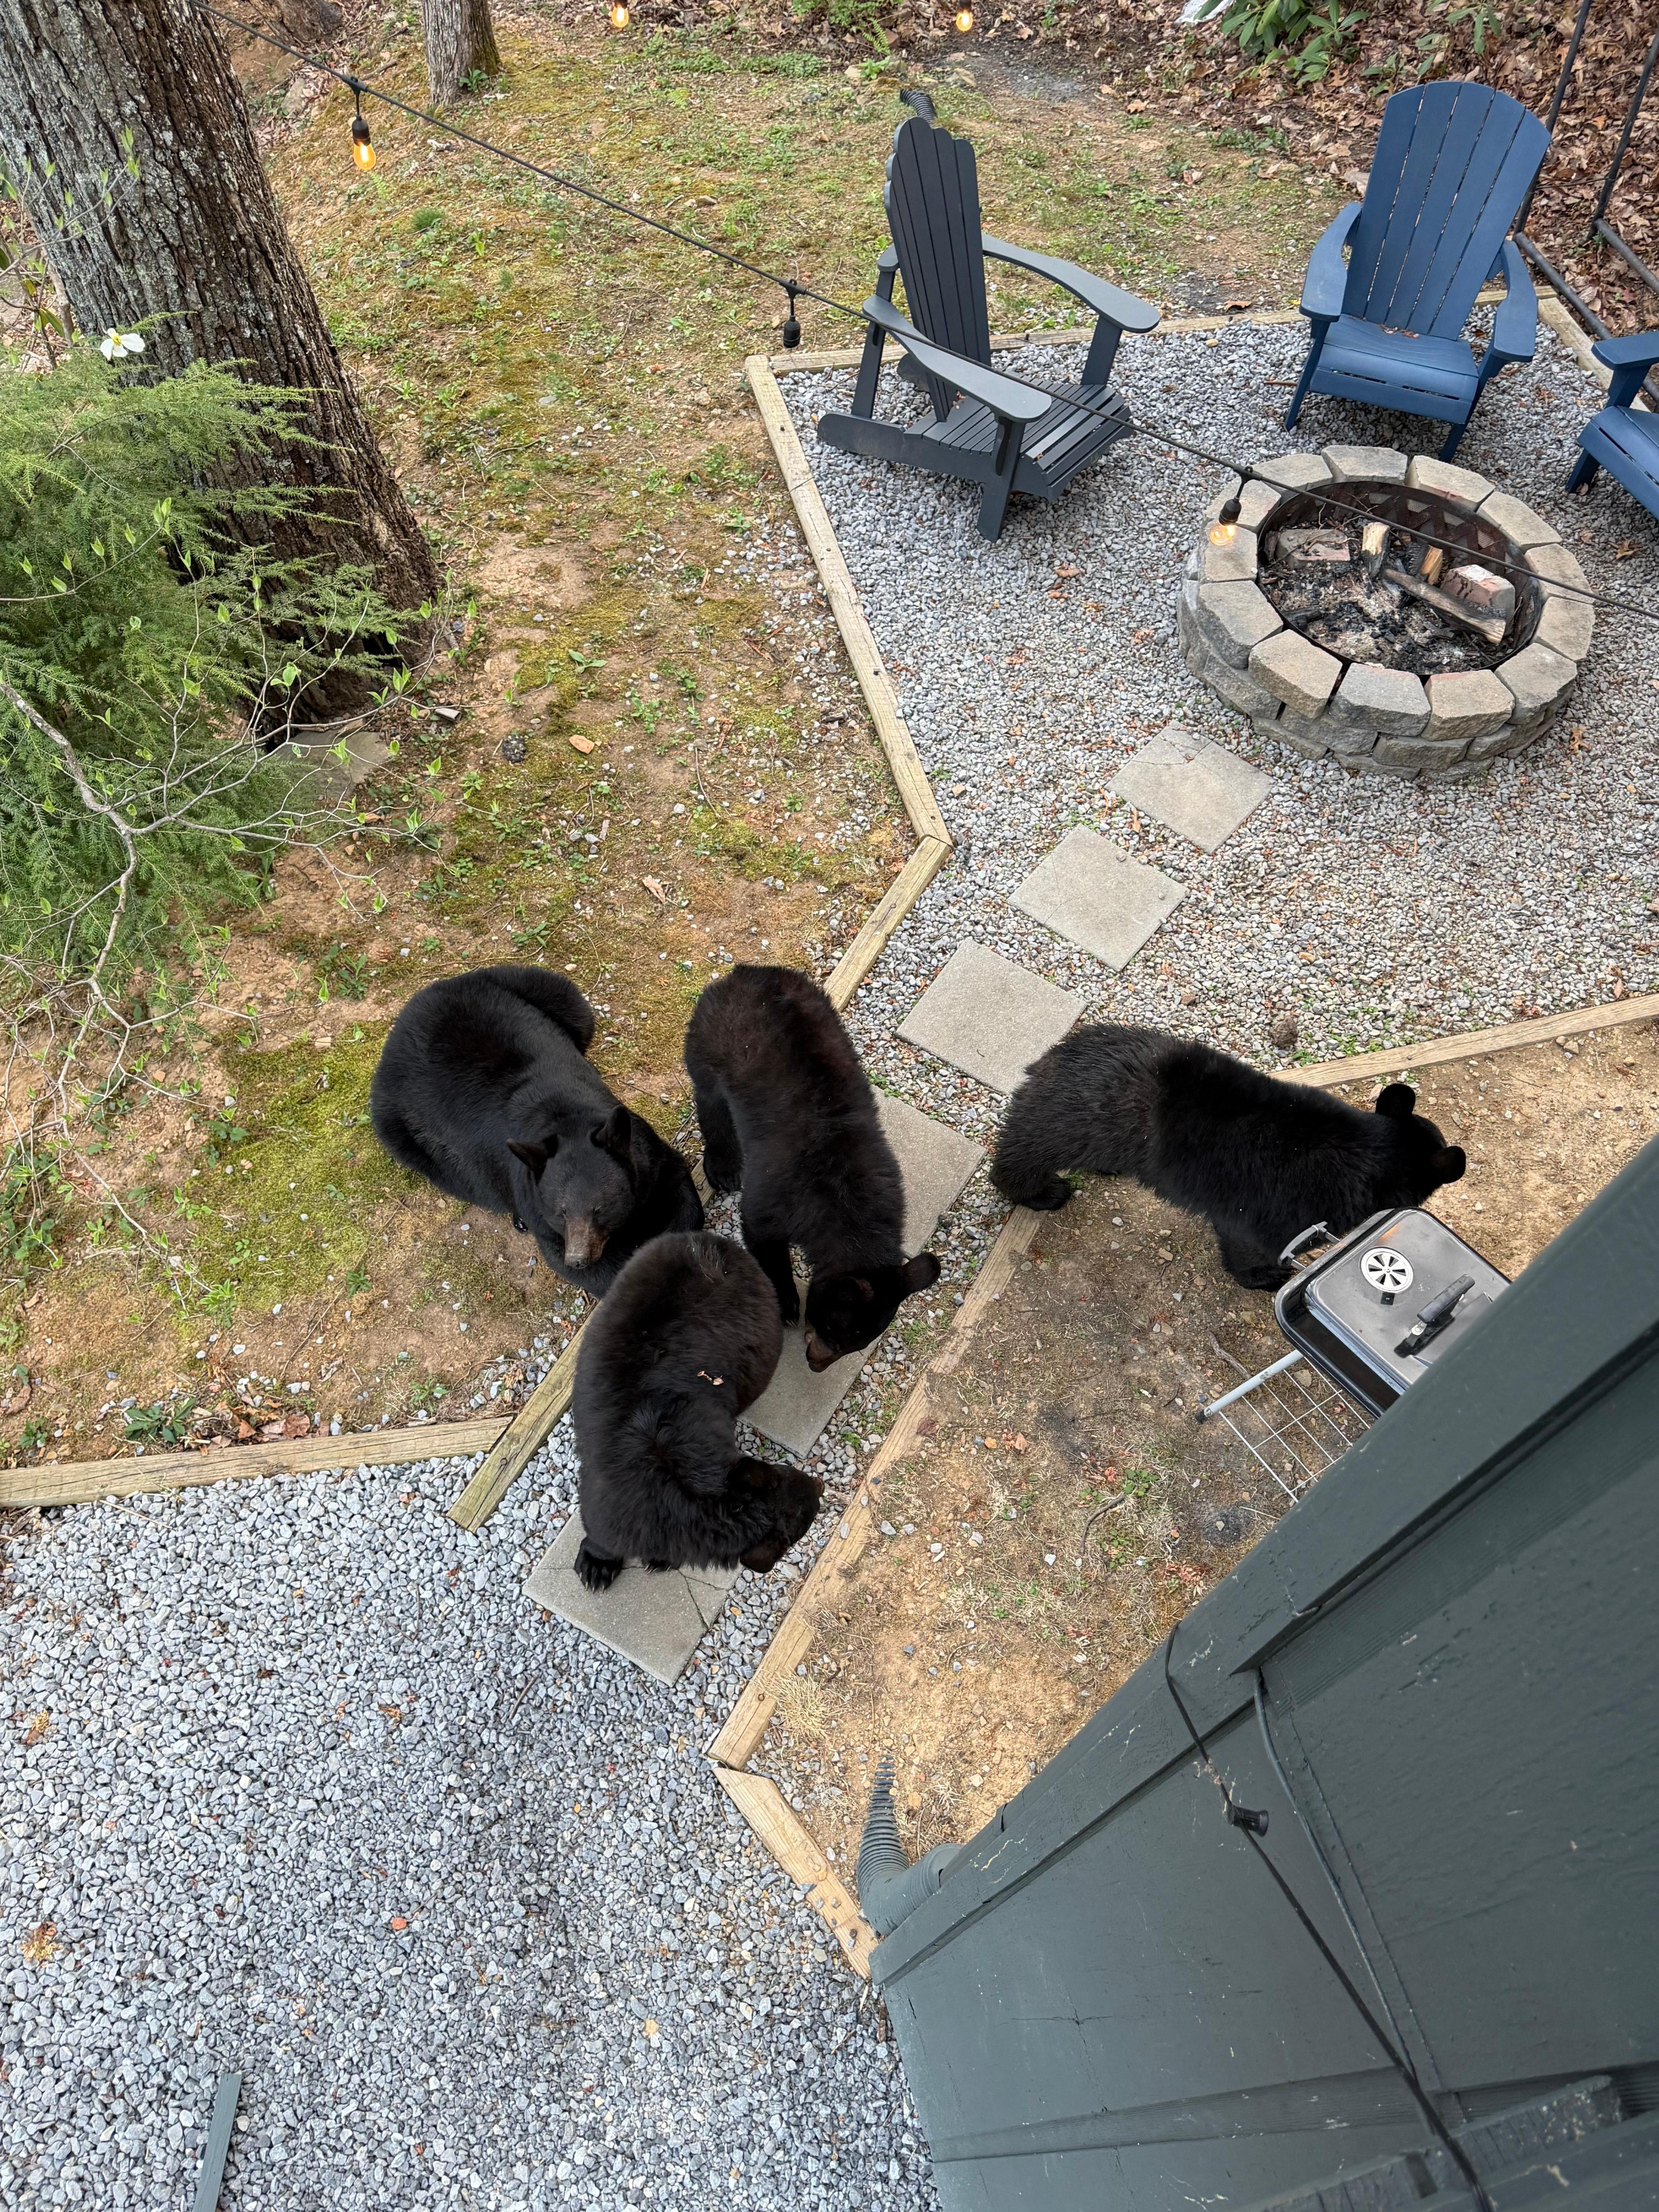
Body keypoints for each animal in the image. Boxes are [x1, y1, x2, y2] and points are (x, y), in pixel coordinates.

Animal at [370, 964, 703, 1297]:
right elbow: (596, 1269)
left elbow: (678, 1186)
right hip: (399, 1126)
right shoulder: (536, 1205)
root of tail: (406, 1015)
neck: (567, 1120)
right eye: (562, 1212)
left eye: (599, 1209)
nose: (578, 1258)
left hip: (535, 987)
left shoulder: (645, 1154)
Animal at [571, 1231, 825, 1590]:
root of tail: (712, 1244)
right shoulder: (608, 1498)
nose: (821, 1485)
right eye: (810, 1513)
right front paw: (597, 1564)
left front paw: (659, 1560)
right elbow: (601, 1531)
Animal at [683, 964, 940, 1370]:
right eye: (831, 1333)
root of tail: (743, 972)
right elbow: (761, 1234)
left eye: (853, 1345)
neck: (848, 1207)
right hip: (712, 1041)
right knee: (710, 1099)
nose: (815, 1364)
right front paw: (787, 1303)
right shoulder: (782, 1192)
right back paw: (723, 1166)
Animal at [990, 1024, 1466, 1290]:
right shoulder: (1287, 1208)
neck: (1370, 1159)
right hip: (1081, 1118)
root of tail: (1062, 1050)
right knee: (1028, 1148)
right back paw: (1040, 1192)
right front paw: (1264, 1279)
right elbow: (1252, 1245)